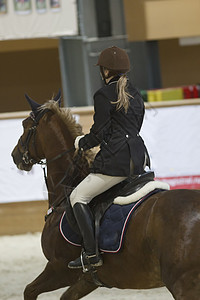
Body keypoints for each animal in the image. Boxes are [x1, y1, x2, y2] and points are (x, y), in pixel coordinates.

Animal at [11, 92, 200, 298]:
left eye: (25, 125)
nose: (15, 155)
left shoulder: (59, 268)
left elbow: (29, 290)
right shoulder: (88, 280)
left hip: (183, 285)